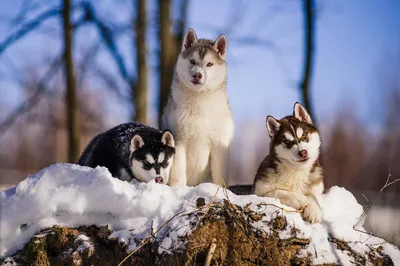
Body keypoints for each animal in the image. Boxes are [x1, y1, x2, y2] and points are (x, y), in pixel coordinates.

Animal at [161, 28, 233, 186]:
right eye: (192, 61)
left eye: (209, 64)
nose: (197, 75)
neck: (199, 98)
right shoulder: (178, 138)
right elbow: (178, 172)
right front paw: (178, 188)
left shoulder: (220, 143)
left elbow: (220, 176)